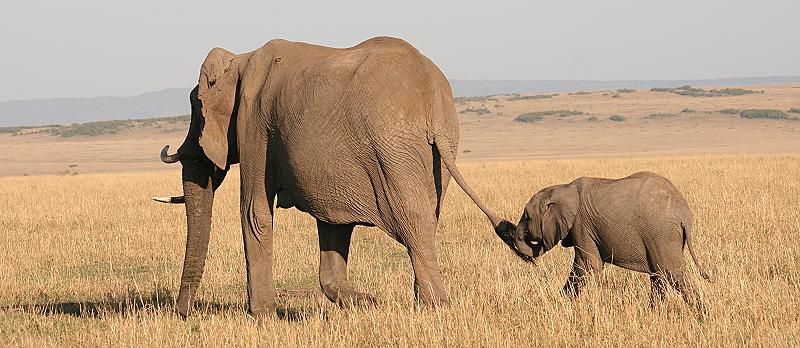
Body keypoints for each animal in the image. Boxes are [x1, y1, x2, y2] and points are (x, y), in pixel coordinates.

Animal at [155, 37, 506, 318]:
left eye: (196, 109)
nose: (182, 313)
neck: (240, 59)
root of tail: (432, 100)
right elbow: (333, 222)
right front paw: (367, 302)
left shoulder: (253, 121)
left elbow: (254, 213)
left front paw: (262, 315)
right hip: (435, 155)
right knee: (428, 219)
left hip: (392, 149)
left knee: (414, 223)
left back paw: (435, 306)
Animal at [494, 171, 712, 312]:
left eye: (527, 218)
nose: (531, 260)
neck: (563, 188)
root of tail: (684, 214)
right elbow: (582, 266)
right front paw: (562, 303)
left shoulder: (581, 224)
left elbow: (587, 264)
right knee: (659, 275)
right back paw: (653, 313)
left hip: (661, 234)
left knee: (671, 273)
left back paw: (701, 314)